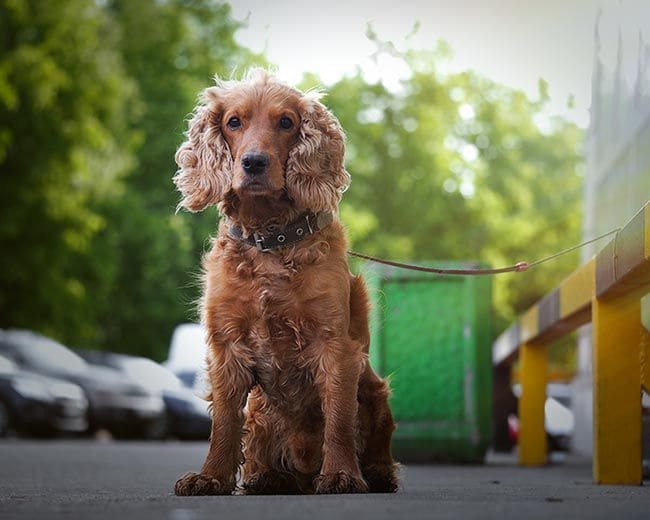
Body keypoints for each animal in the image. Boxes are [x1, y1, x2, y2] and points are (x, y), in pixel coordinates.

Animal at [172, 69, 394, 496]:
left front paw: (342, 474)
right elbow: (224, 423)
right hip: (261, 409)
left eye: (286, 122)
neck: (270, 239)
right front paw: (210, 477)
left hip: (375, 393)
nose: (254, 162)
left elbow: (338, 419)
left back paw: (377, 473)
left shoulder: (334, 344)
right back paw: (266, 476)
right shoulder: (226, 344)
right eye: (234, 122)